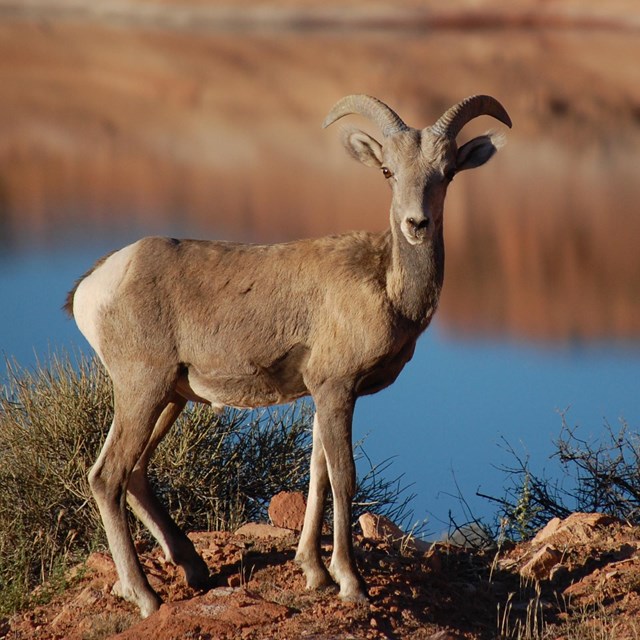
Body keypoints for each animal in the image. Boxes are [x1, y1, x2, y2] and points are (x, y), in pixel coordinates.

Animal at [65, 94, 511, 618]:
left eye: (447, 172)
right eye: (387, 171)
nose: (416, 224)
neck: (388, 286)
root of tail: (94, 285)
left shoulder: (323, 394)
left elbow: (316, 475)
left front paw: (315, 573)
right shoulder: (336, 389)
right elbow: (343, 478)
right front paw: (352, 583)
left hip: (170, 398)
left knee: (134, 475)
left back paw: (192, 570)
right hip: (142, 390)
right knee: (108, 477)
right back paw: (147, 599)